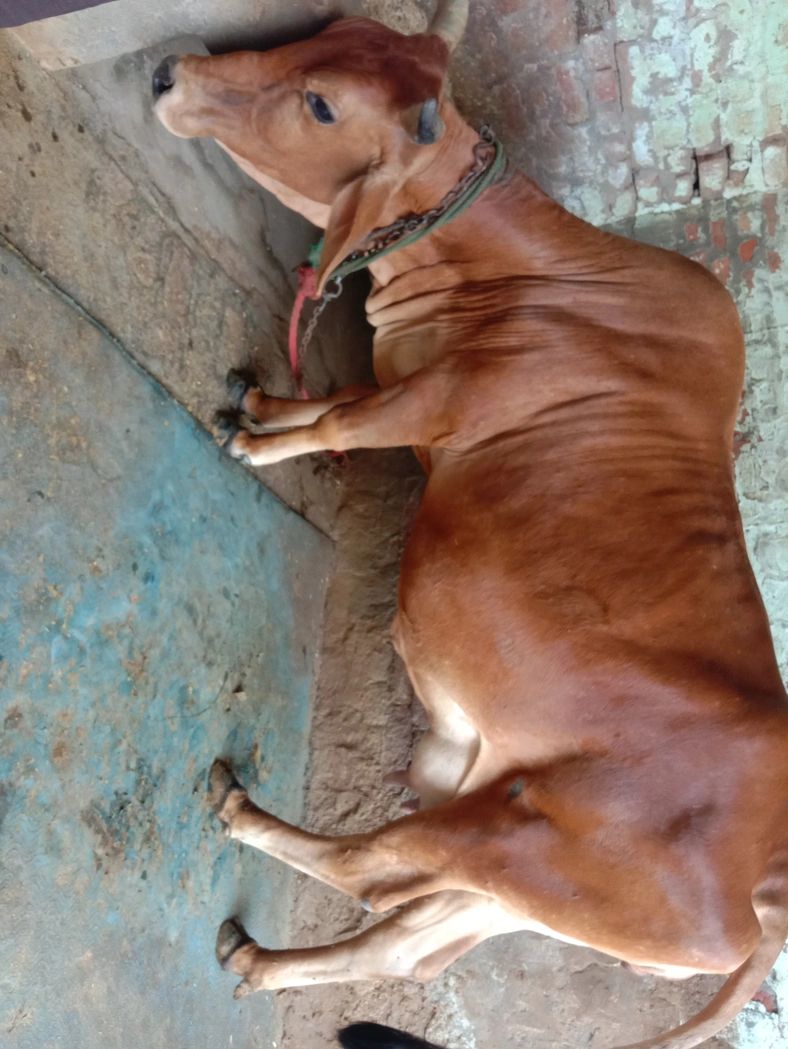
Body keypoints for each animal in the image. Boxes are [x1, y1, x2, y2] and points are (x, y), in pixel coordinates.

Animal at [152, 2, 788, 1046]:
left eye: (321, 104)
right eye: (328, 30)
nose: (170, 72)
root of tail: (766, 890)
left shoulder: (443, 400)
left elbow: (339, 420)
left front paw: (253, 442)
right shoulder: (400, 381)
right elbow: (333, 396)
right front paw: (261, 406)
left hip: (516, 840)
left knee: (369, 868)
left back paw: (242, 814)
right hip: (508, 891)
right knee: (398, 939)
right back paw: (260, 962)